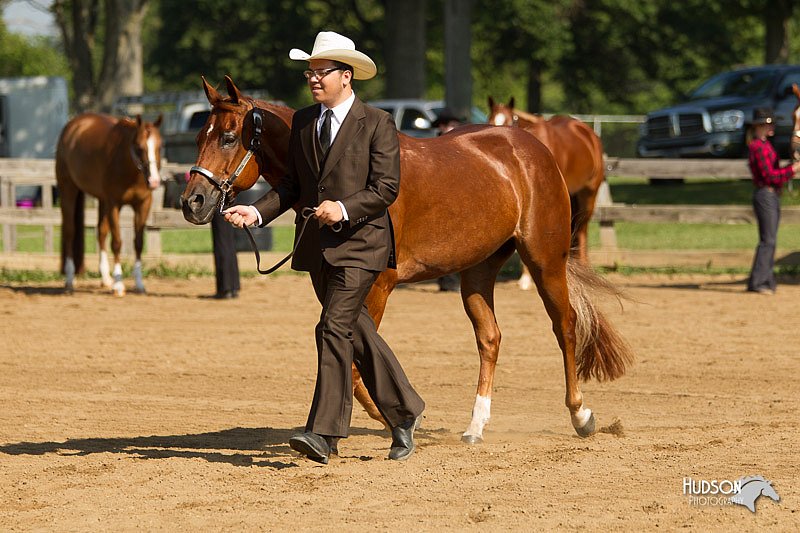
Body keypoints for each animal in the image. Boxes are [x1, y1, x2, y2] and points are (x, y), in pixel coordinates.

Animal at [55, 113, 163, 296]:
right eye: (139, 147)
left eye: (160, 146)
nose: (154, 181)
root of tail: (74, 124)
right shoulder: (114, 204)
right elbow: (117, 243)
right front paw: (119, 285)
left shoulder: (143, 205)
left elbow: (138, 243)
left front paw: (139, 284)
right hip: (68, 189)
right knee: (70, 231)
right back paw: (69, 281)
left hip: (102, 200)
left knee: (101, 232)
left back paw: (105, 278)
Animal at [484, 95, 604, 286]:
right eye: (489, 120)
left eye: (510, 121)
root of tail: (588, 133)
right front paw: (526, 277)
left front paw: (527, 278)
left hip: (588, 194)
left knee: (582, 228)